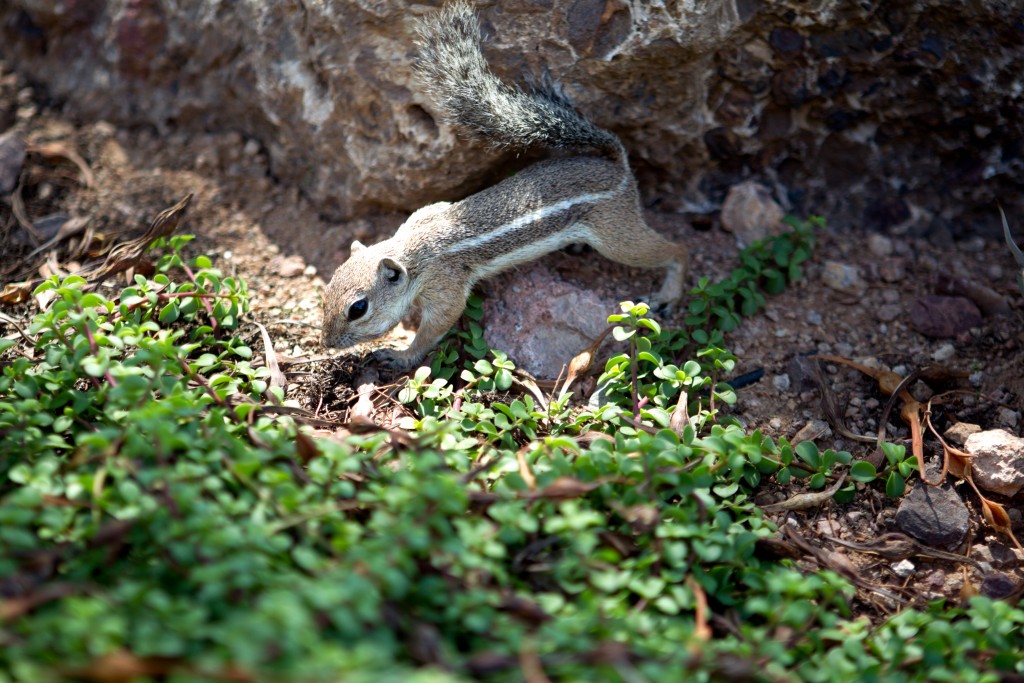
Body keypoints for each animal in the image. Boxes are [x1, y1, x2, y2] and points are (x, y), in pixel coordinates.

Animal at [319, 1, 688, 368]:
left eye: (358, 308)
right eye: (328, 287)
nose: (327, 343)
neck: (413, 250)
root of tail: (618, 165)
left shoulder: (446, 284)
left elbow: (438, 324)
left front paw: (399, 355)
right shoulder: (424, 215)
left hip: (617, 236)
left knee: (673, 252)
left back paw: (668, 293)